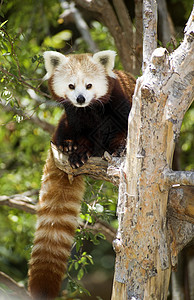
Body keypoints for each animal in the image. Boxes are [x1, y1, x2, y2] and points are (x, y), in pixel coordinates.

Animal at [28, 50, 136, 298]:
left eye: (88, 85)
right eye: (71, 85)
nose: (79, 99)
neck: (90, 111)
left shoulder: (121, 103)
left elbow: (123, 131)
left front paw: (120, 146)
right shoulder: (75, 117)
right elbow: (81, 135)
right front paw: (77, 151)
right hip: (62, 127)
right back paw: (68, 146)